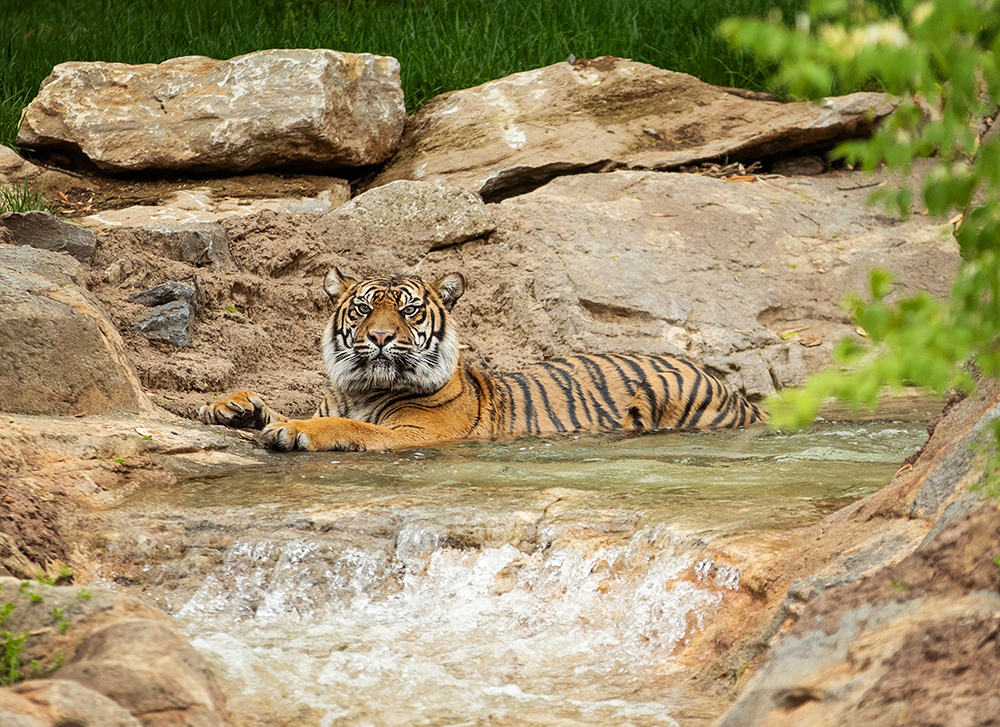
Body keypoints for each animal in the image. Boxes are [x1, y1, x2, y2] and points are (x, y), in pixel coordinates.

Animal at [198, 269, 767, 451]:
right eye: (362, 310)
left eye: (407, 310)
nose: (380, 337)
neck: (361, 387)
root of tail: (729, 386)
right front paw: (231, 405)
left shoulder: (417, 433)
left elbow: (348, 427)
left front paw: (292, 432)